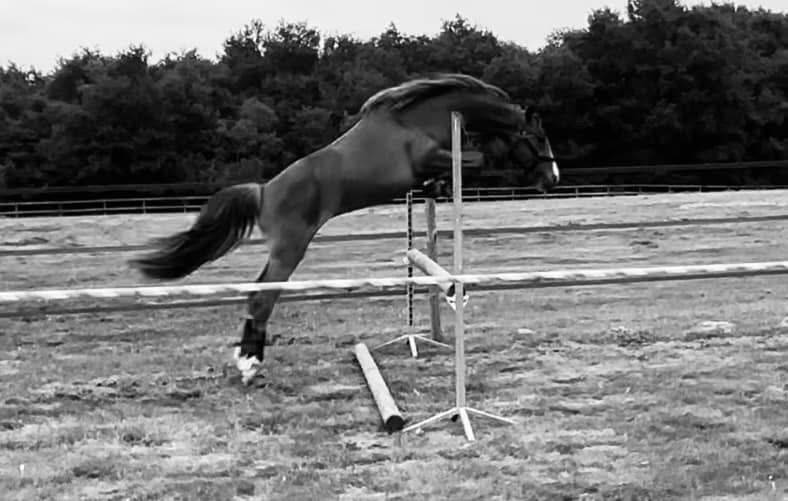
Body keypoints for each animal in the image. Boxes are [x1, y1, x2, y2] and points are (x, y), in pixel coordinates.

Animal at [130, 73, 560, 385]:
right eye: (538, 137)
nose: (552, 178)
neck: (416, 119)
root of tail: (263, 191)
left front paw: (436, 188)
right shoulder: (429, 158)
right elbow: (477, 158)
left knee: (258, 294)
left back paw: (248, 358)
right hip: (291, 247)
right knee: (263, 297)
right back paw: (249, 364)